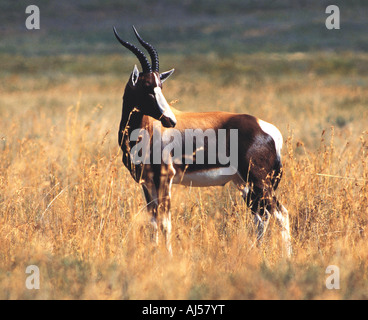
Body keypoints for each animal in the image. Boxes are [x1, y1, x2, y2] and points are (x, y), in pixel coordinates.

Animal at [113, 26, 292, 258]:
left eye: (160, 86)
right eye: (146, 86)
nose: (170, 120)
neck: (148, 129)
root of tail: (268, 129)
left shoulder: (165, 179)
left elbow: (165, 222)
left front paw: (168, 256)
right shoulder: (146, 182)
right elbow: (153, 221)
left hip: (260, 181)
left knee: (280, 213)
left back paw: (286, 257)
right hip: (244, 183)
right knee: (261, 216)